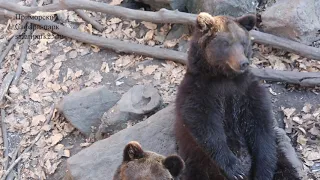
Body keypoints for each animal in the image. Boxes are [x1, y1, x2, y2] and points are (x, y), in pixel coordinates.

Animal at [174, 11, 302, 179]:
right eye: (226, 43)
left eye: (243, 42)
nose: (243, 62)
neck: (224, 77)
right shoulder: (198, 91)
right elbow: (205, 124)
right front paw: (236, 169)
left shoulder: (247, 91)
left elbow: (261, 128)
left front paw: (262, 171)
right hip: (198, 164)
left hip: (281, 158)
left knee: (286, 169)